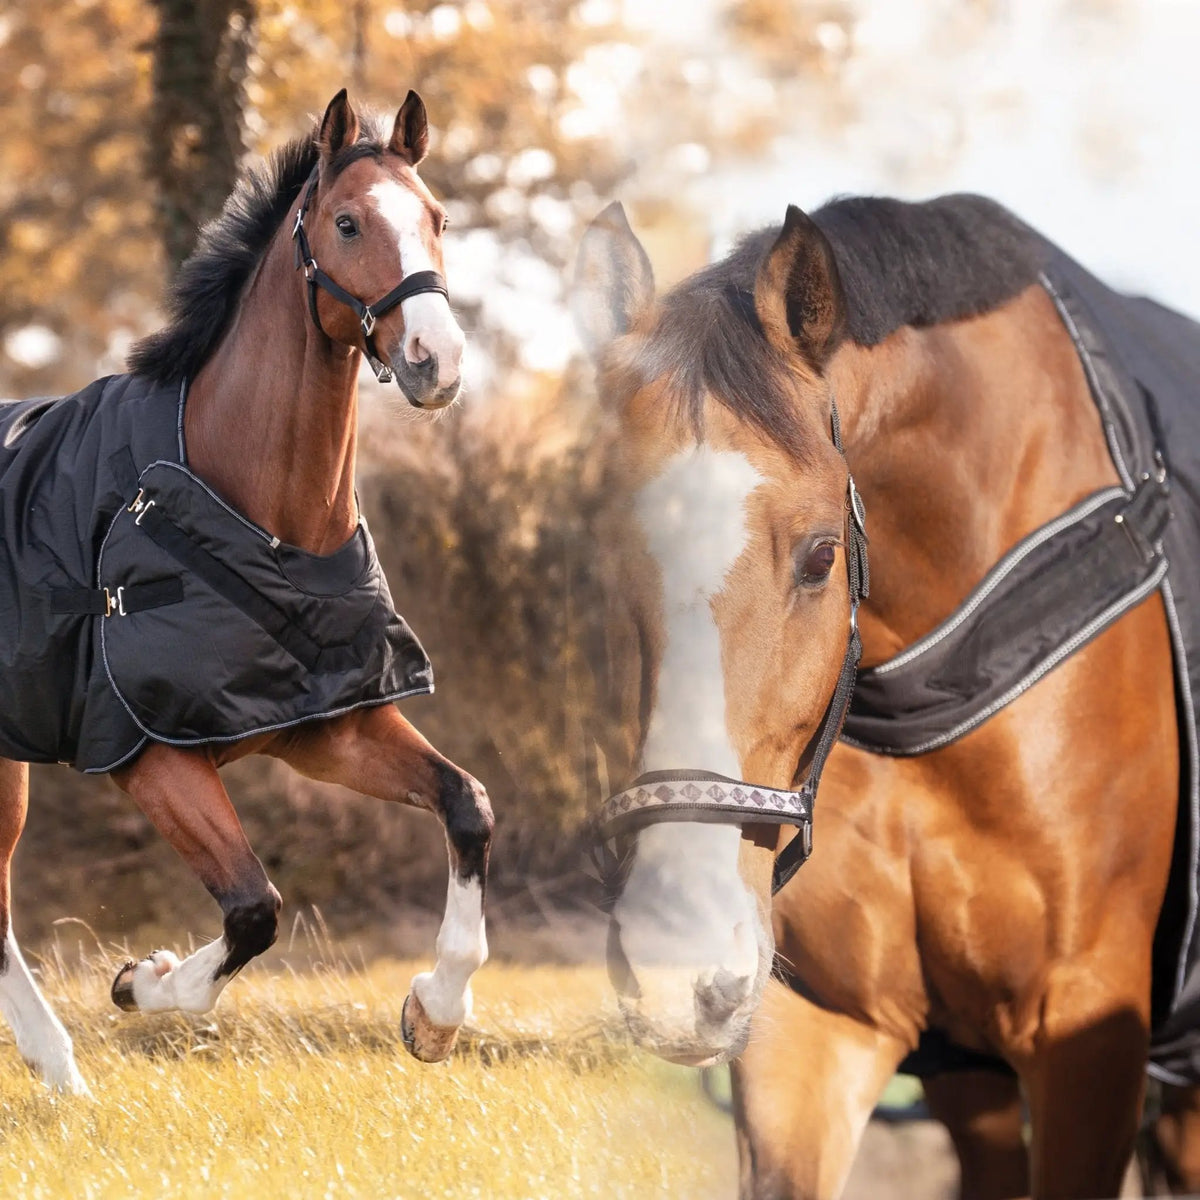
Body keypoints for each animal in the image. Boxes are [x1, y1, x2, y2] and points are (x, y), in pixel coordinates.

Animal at [0, 90, 492, 1095]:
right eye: (347, 223)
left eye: (437, 219)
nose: (438, 362)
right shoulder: (152, 756)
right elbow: (255, 909)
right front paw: (139, 981)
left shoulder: (330, 728)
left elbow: (468, 807)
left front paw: (435, 1013)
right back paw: (61, 1067)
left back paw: (54, 1070)